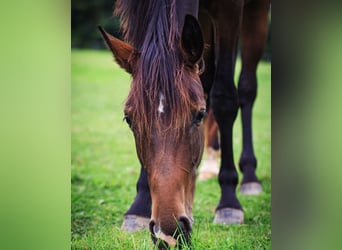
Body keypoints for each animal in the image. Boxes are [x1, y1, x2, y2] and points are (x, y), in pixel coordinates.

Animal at [99, 0, 270, 247]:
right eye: (128, 119)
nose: (168, 232)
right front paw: (139, 206)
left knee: (246, 89)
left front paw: (229, 204)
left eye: (199, 115)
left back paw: (248, 177)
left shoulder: (230, 10)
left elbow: (225, 98)